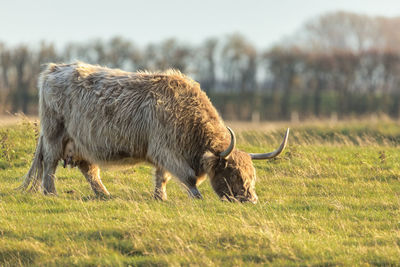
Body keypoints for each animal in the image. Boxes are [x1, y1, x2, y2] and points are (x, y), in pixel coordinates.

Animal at [20, 62, 290, 203]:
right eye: (233, 173)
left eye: (252, 175)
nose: (251, 199)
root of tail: (54, 69)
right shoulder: (168, 151)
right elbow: (187, 179)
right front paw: (196, 197)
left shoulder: (162, 153)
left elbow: (162, 177)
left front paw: (160, 197)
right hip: (54, 134)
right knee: (50, 165)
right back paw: (51, 193)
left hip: (82, 144)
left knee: (89, 170)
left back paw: (105, 194)